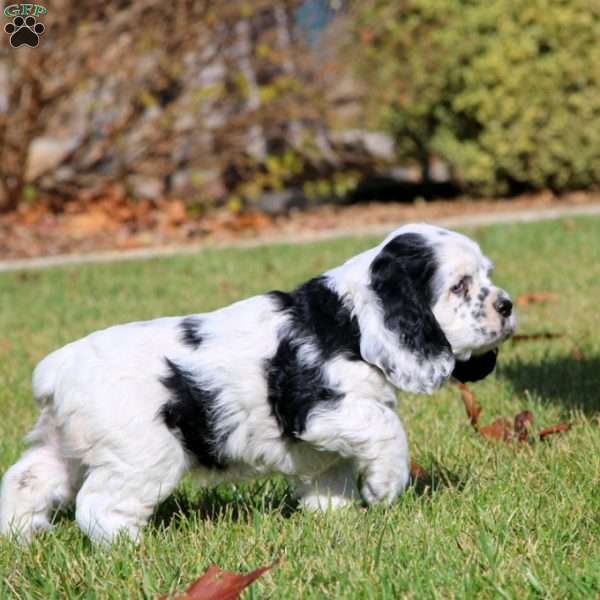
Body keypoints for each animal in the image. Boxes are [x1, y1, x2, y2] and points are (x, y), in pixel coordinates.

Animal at [0, 224, 516, 544]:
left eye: (487, 276)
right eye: (460, 286)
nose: (507, 306)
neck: (348, 322)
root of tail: (58, 368)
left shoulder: (325, 442)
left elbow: (331, 475)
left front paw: (337, 517)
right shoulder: (325, 410)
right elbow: (389, 431)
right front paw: (385, 489)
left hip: (63, 447)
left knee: (26, 481)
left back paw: (21, 537)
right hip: (142, 457)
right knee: (98, 506)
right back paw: (131, 545)